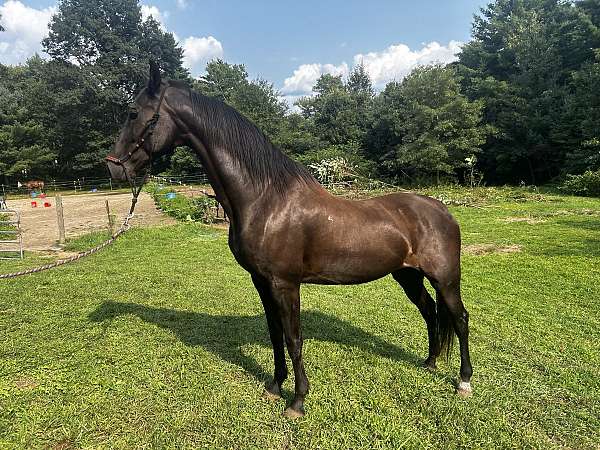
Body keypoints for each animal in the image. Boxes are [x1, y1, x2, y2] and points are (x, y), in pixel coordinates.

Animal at [106, 61, 474, 416]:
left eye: (134, 113)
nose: (113, 166)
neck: (266, 199)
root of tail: (441, 209)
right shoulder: (261, 281)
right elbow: (275, 335)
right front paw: (274, 386)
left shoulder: (285, 284)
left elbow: (294, 339)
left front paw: (297, 401)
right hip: (407, 275)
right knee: (430, 312)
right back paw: (429, 363)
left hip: (445, 279)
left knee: (459, 318)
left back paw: (464, 382)